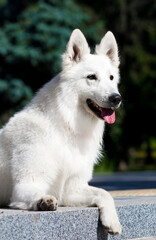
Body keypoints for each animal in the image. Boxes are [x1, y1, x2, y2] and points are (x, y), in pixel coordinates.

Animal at [0, 29, 122, 234]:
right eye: (91, 77)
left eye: (111, 78)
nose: (116, 98)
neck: (66, 128)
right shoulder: (25, 185)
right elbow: (37, 193)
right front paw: (43, 201)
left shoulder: (71, 189)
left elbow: (104, 193)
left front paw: (112, 220)